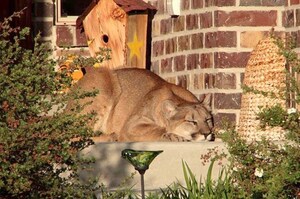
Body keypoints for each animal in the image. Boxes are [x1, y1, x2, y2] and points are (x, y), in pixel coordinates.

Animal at [67, 67, 214, 141]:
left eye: (208, 119)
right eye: (192, 121)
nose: (207, 134)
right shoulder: (131, 125)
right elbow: (159, 129)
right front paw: (174, 136)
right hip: (102, 82)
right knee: (74, 137)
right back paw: (111, 137)